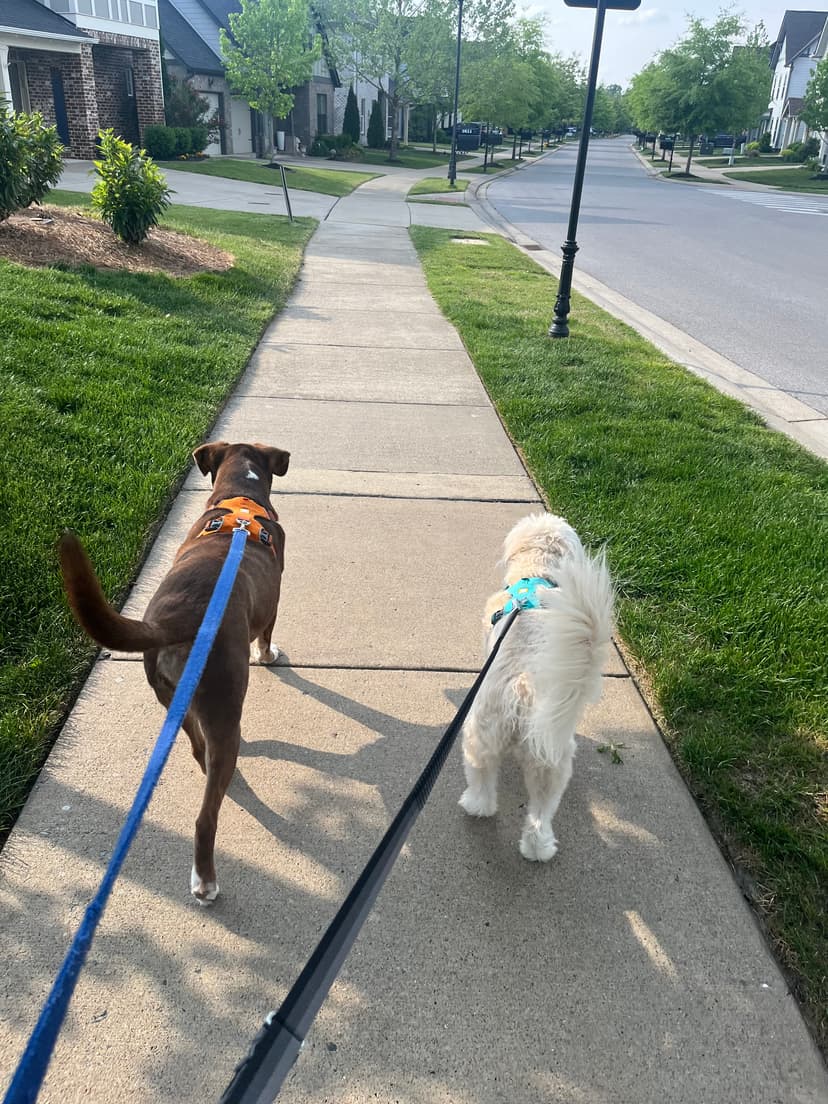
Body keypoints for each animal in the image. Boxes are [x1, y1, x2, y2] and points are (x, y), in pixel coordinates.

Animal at [59, 439, 289, 905]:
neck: (241, 498)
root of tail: (176, 624)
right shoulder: (273, 601)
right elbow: (267, 634)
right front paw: (270, 655)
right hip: (223, 708)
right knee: (206, 817)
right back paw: (205, 881)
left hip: (173, 700)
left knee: (198, 750)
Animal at [463, 512, 613, 856]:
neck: (538, 571)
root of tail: (524, 688)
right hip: (550, 761)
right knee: (540, 814)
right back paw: (539, 849)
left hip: (480, 735)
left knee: (483, 780)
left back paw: (475, 805)